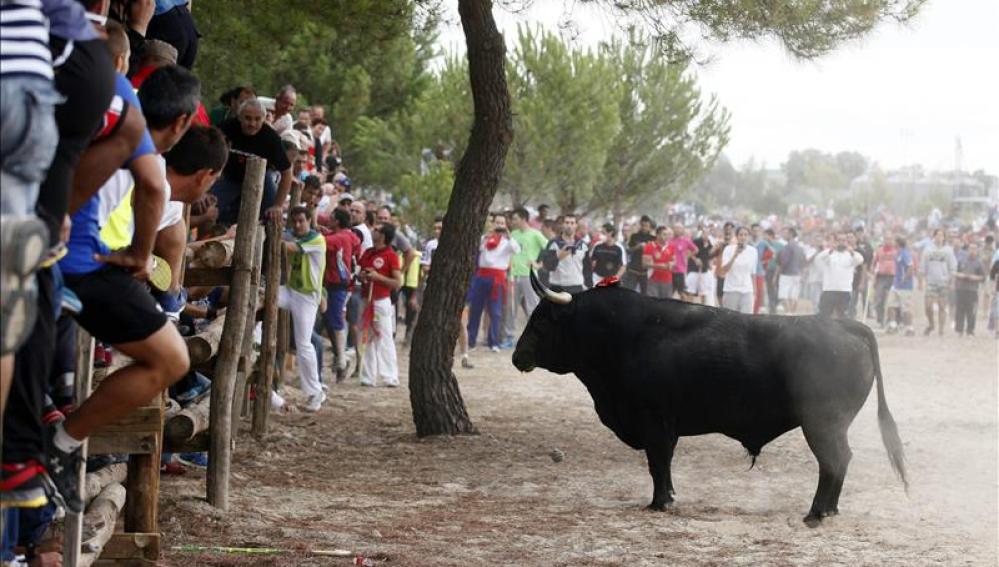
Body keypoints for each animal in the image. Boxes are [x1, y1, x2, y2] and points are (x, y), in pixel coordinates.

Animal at [516, 272, 908, 524]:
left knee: (835, 460)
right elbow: (663, 466)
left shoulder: (655, 423)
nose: (517, 357)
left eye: (541, 321)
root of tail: (844, 324)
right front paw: (668, 498)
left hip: (822, 424)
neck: (624, 334)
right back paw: (829, 510)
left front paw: (660, 503)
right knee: (839, 462)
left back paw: (816, 512)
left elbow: (658, 463)